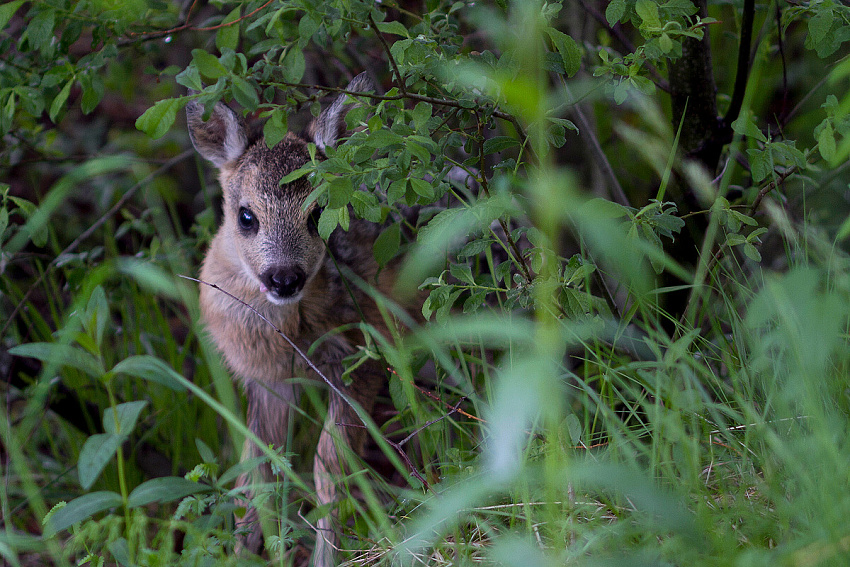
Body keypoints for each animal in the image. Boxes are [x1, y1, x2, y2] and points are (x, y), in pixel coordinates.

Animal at [186, 72, 395, 566]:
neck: (292, 333)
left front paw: (325, 558)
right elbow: (257, 475)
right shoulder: (267, 379)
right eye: (246, 216)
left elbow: (328, 466)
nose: (284, 277)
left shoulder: (361, 359)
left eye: (319, 213)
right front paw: (241, 553)